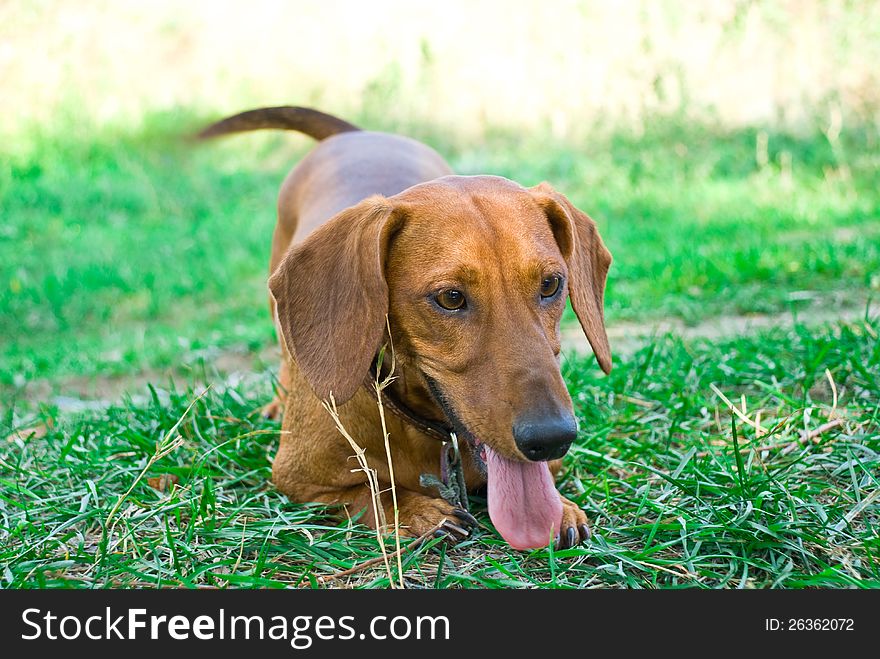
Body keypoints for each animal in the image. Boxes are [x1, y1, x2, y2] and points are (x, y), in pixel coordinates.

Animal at [199, 107, 612, 552]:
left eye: (551, 284)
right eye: (450, 297)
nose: (552, 438)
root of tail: (358, 134)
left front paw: (563, 507)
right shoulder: (298, 481)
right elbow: (372, 494)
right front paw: (418, 512)